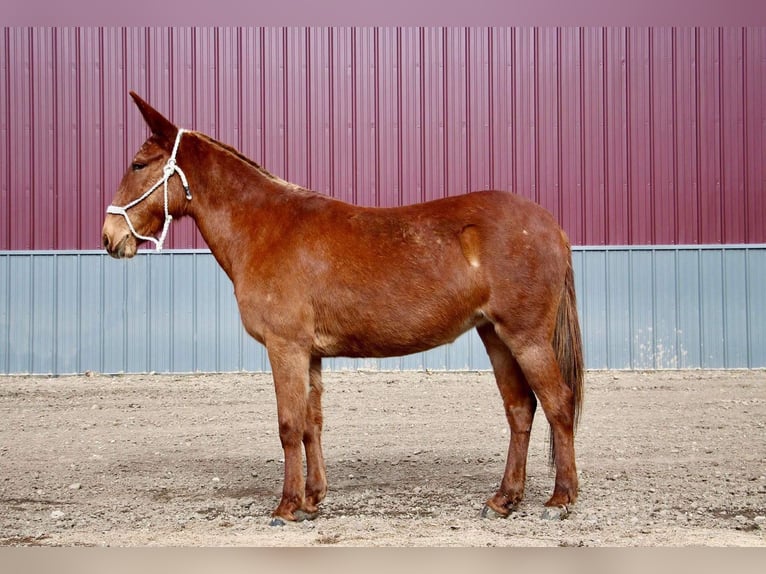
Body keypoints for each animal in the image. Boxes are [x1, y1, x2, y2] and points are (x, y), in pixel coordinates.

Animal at [100, 92, 584, 524]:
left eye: (138, 164)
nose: (109, 237)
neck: (265, 227)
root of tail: (552, 226)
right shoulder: (309, 353)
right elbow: (311, 423)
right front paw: (313, 499)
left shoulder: (286, 348)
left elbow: (288, 424)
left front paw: (286, 507)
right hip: (495, 335)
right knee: (520, 410)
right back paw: (503, 500)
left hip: (526, 337)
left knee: (558, 403)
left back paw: (560, 499)